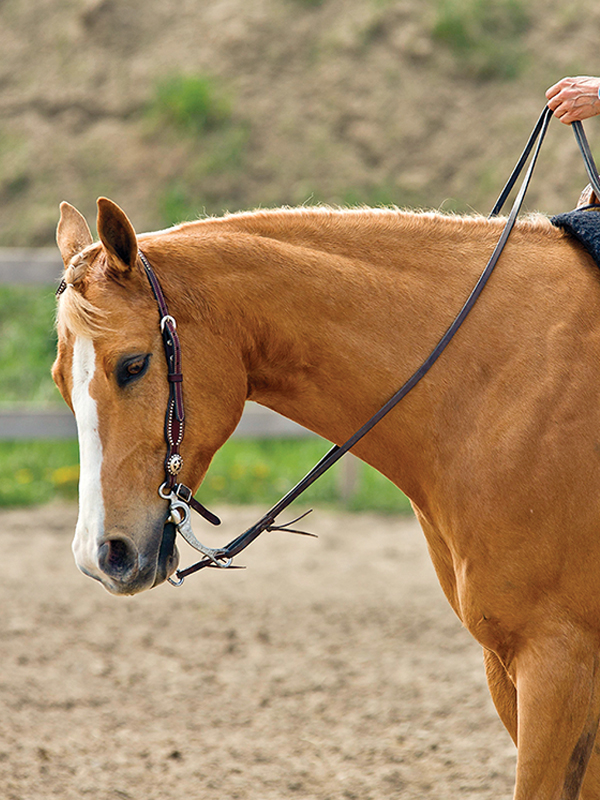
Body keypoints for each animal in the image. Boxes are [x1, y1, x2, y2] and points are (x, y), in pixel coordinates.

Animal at [53, 196, 600, 799]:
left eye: (133, 365)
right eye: (60, 380)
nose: (103, 554)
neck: (495, 379)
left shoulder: (557, 661)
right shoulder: (509, 667)